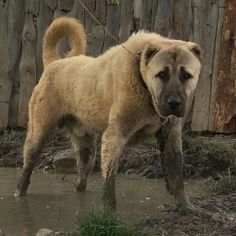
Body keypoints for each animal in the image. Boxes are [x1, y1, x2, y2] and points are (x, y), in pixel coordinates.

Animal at [15, 16, 203, 212]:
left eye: (186, 75)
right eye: (162, 74)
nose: (174, 103)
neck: (143, 82)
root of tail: (54, 63)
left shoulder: (171, 136)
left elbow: (177, 175)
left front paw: (186, 207)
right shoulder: (114, 135)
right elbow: (109, 180)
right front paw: (108, 211)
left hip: (87, 149)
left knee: (81, 176)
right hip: (38, 134)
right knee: (27, 168)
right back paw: (19, 192)